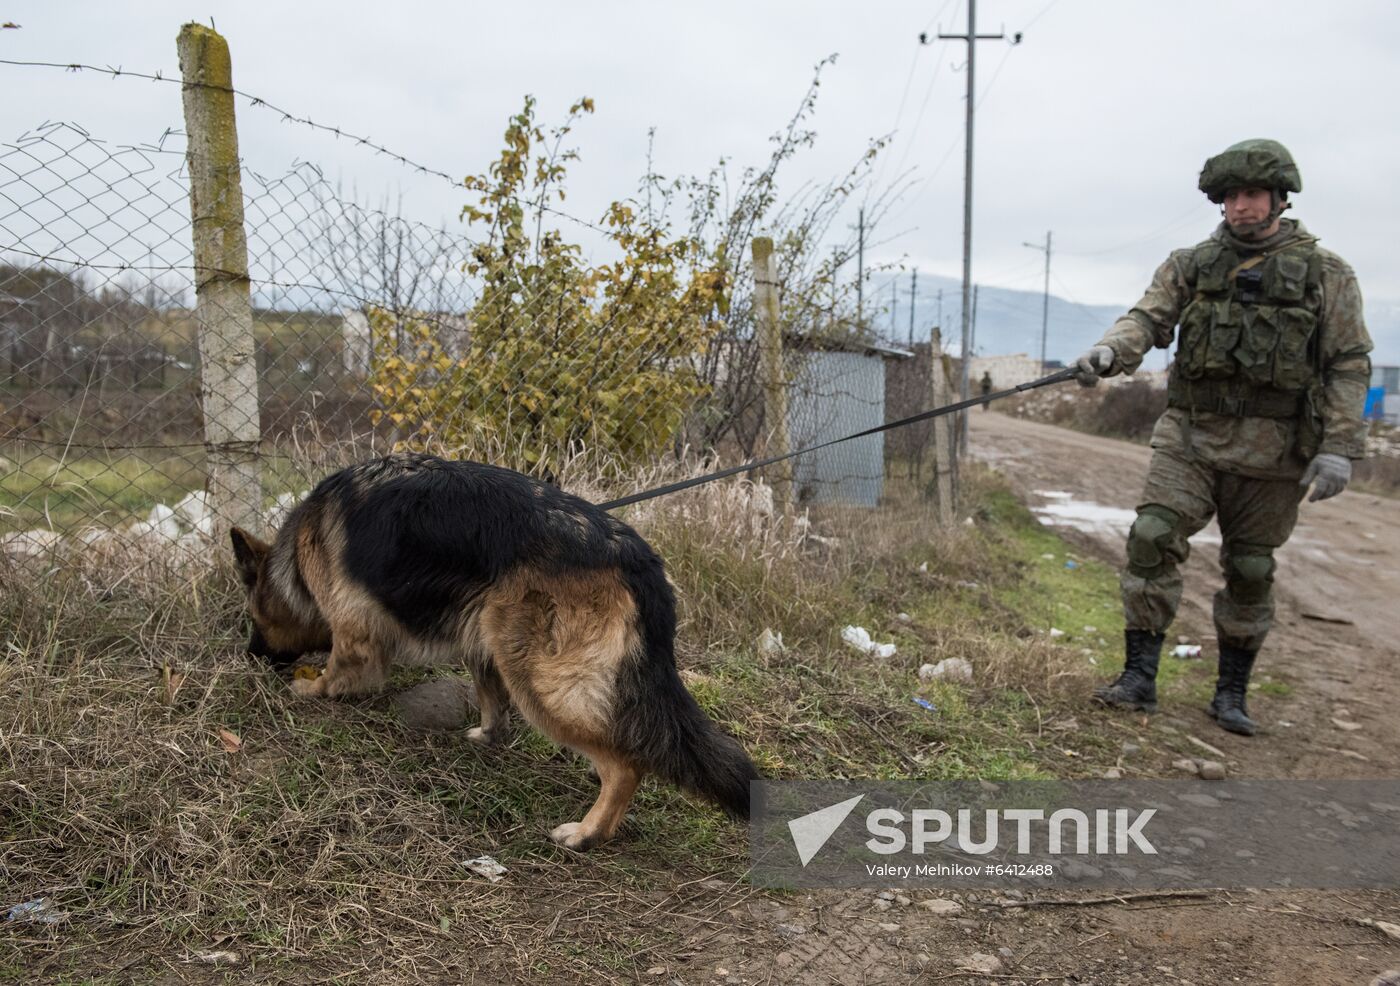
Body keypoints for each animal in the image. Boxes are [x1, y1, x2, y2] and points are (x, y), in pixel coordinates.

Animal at [232, 453, 756, 845]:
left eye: (255, 617)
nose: (251, 655)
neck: (296, 555)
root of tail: (636, 557)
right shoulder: (477, 633)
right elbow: (489, 694)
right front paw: (488, 734)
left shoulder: (353, 631)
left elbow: (342, 668)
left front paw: (313, 688)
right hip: (506, 636)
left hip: (539, 678)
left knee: (626, 764)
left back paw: (587, 832)